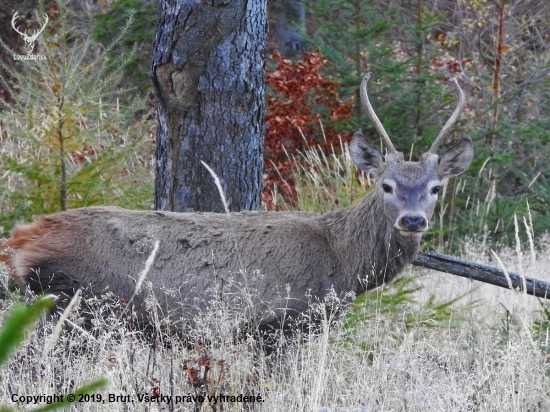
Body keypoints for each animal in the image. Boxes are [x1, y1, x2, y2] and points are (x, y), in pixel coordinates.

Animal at [0, 74, 474, 342]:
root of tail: (19, 241)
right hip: (78, 305)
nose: (412, 219)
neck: (343, 264)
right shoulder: (282, 322)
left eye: (435, 188)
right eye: (386, 185)